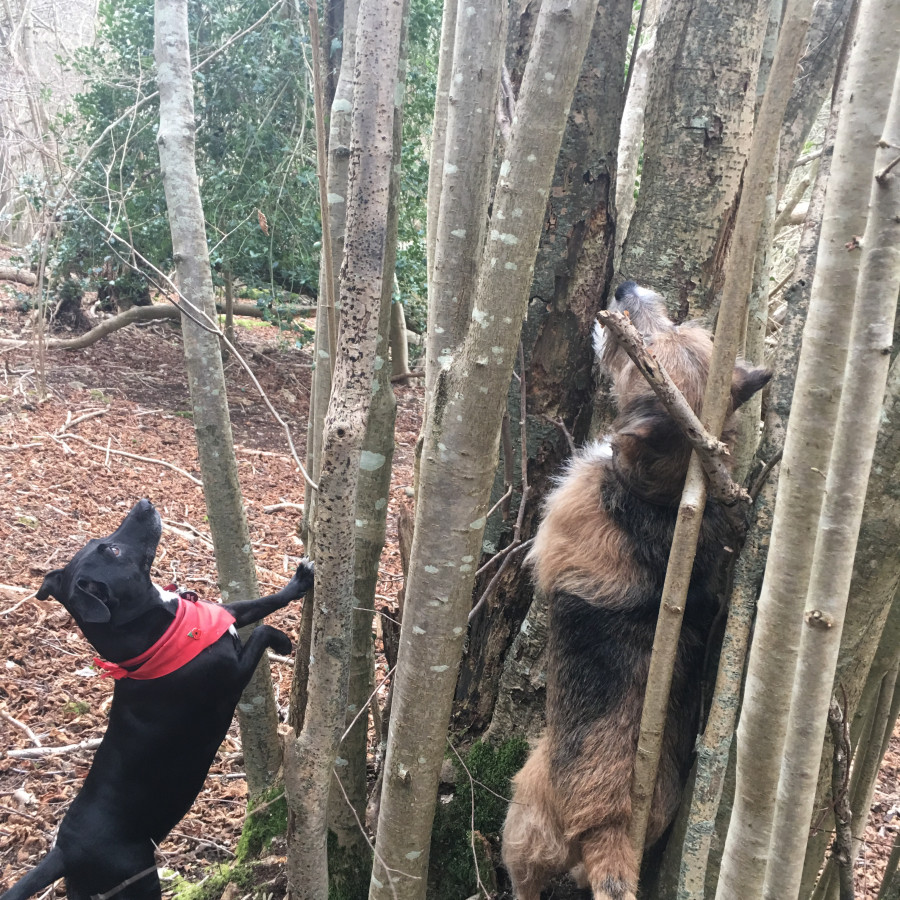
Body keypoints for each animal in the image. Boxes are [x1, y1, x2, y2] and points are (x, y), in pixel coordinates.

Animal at [0, 500, 312, 900]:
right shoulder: (233, 673)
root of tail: (63, 852)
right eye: (114, 551)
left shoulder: (225, 613)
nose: (143, 504)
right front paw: (284, 642)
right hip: (137, 879)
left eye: (103, 543)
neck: (158, 633)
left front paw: (300, 582)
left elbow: (260, 602)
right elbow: (262, 631)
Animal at [502, 282, 768, 900]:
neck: (664, 498)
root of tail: (612, 828)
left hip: (521, 821)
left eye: (642, 350)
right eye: (674, 325)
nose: (627, 289)